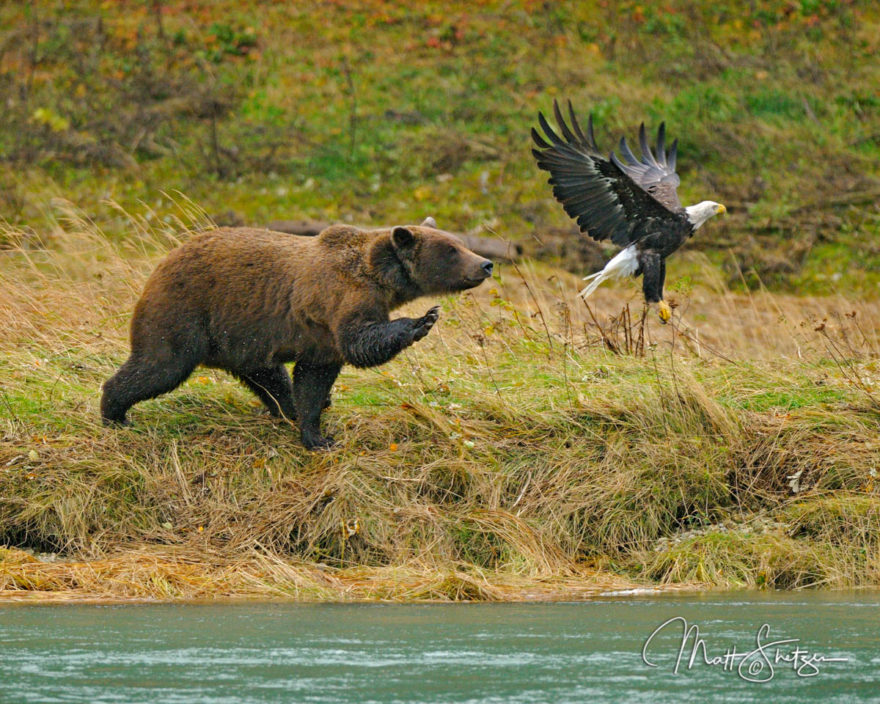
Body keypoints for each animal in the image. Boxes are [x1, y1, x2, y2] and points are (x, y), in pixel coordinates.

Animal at [101, 220, 496, 448]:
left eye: (459, 242)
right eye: (451, 249)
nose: (486, 263)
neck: (382, 279)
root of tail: (161, 263)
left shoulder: (320, 340)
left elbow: (312, 379)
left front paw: (316, 429)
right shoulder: (340, 298)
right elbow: (360, 341)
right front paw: (423, 320)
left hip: (241, 337)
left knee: (268, 377)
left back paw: (286, 407)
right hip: (185, 312)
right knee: (159, 365)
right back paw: (115, 413)